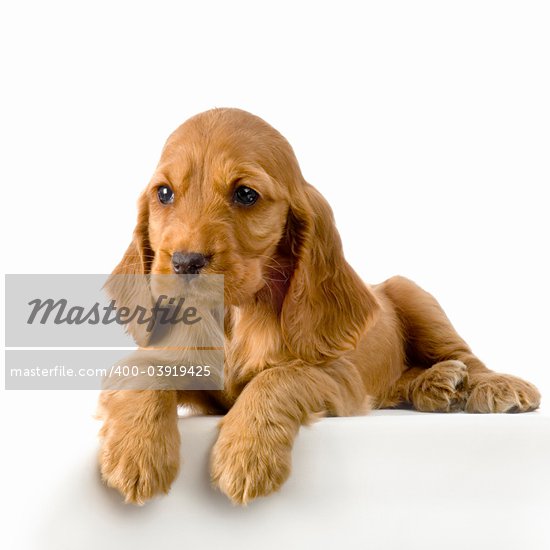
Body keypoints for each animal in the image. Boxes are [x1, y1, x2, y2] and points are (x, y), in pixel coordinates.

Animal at [99, 109, 544, 508]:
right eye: (164, 193)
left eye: (246, 194)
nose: (185, 262)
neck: (235, 317)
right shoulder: (175, 362)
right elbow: (143, 371)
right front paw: (134, 455)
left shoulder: (339, 377)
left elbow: (280, 377)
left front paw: (245, 455)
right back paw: (435, 386)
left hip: (413, 294)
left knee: (464, 357)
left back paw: (490, 386)